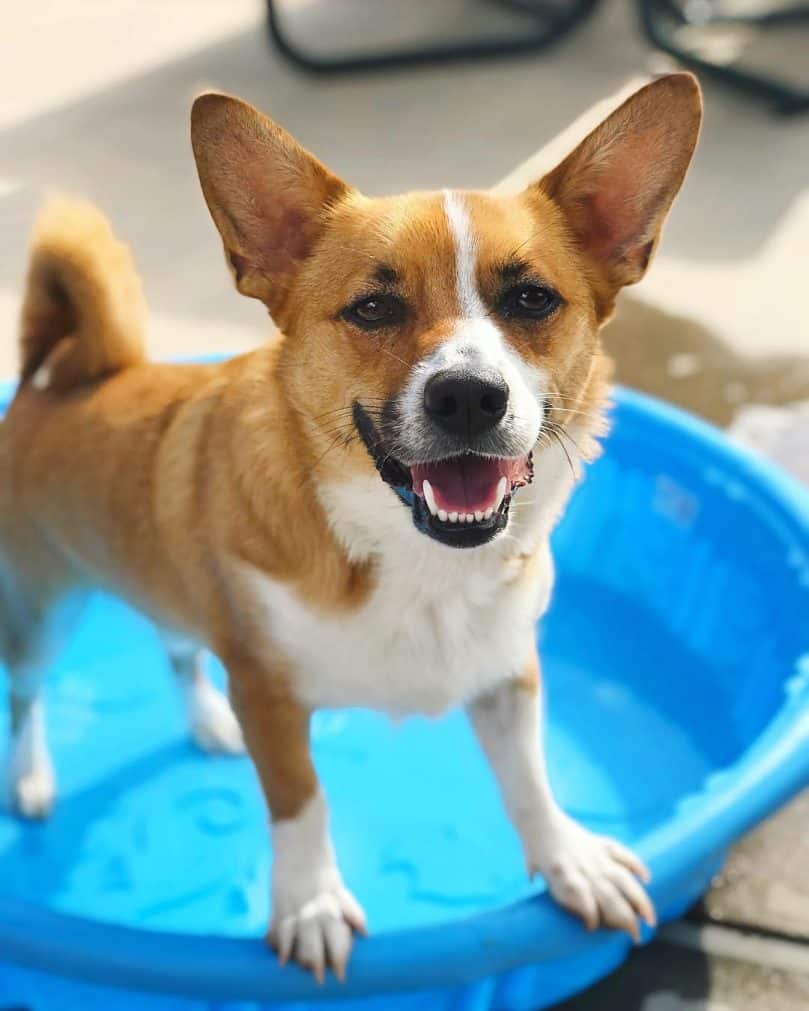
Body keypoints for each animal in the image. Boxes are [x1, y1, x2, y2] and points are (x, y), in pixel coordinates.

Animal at [1, 74, 699, 982]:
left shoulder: (506, 670)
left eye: (531, 299)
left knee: (179, 646)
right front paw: (311, 903)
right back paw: (32, 775)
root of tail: (63, 380)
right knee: (26, 697)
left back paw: (204, 720)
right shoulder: (268, 691)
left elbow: (529, 779)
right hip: (41, 614)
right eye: (372, 307)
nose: (467, 396)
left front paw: (567, 857)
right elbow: (302, 803)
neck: (407, 554)